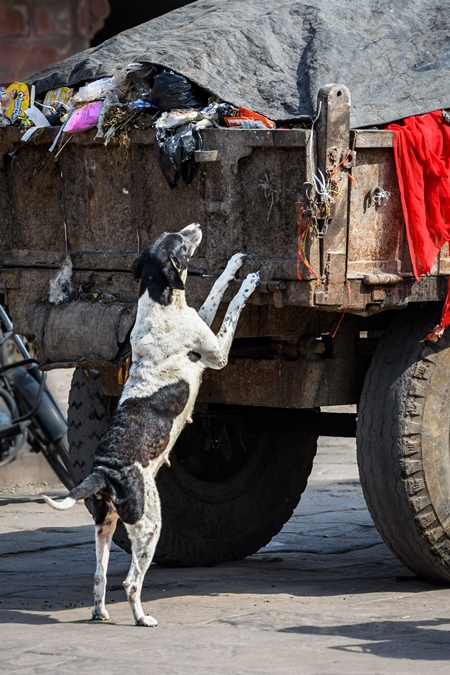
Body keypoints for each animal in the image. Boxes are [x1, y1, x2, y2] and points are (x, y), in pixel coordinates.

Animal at [44, 226, 260, 628]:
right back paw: (142, 618)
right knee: (130, 582)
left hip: (106, 526)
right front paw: (249, 281)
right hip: (149, 526)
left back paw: (100, 613)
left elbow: (215, 289)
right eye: (181, 240)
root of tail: (104, 473)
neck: (157, 302)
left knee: (98, 577)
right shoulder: (218, 352)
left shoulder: (199, 316)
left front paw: (234, 265)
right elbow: (231, 307)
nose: (196, 226)